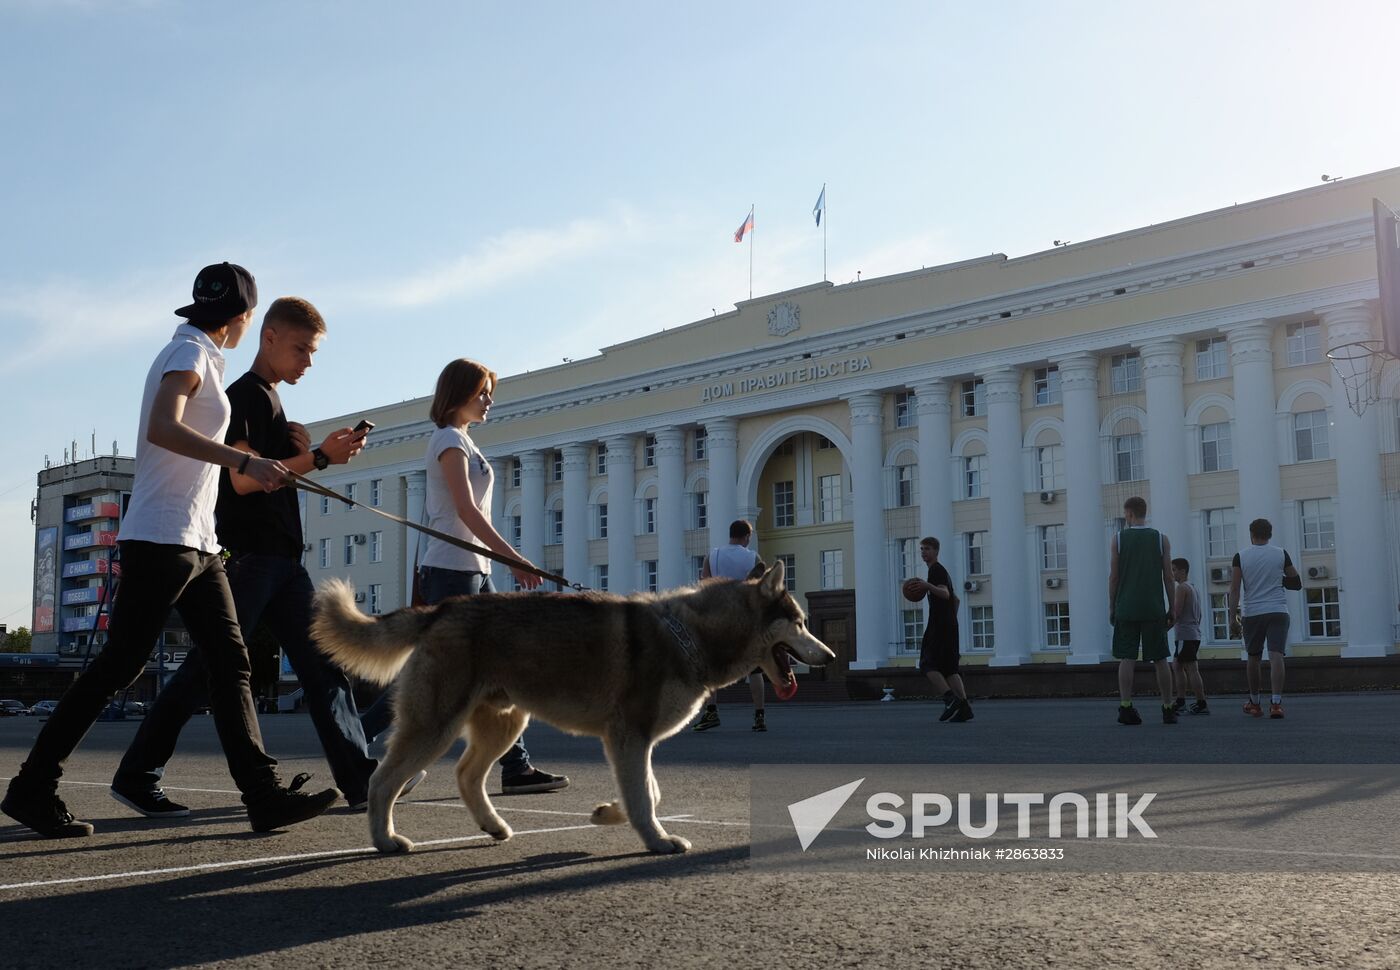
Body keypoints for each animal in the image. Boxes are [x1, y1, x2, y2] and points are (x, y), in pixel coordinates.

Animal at [312, 559, 823, 856]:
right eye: (799, 623)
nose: (832, 655)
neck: (690, 635)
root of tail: (443, 607)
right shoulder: (629, 736)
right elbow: (645, 798)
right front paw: (657, 840)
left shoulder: (632, 742)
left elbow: (649, 792)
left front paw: (610, 813)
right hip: (435, 726)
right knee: (382, 780)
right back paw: (385, 840)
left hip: (504, 724)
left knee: (466, 775)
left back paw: (493, 826)